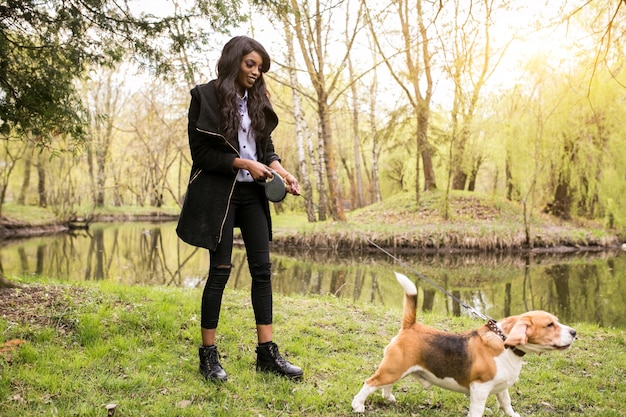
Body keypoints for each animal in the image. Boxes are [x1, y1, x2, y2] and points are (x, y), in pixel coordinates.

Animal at [348, 272, 572, 414]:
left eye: (556, 320)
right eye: (550, 325)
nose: (574, 332)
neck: (503, 342)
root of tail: (411, 326)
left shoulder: (501, 389)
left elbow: (507, 404)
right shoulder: (479, 389)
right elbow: (477, 411)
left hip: (397, 370)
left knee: (386, 385)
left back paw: (388, 398)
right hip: (392, 368)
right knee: (370, 383)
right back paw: (358, 405)